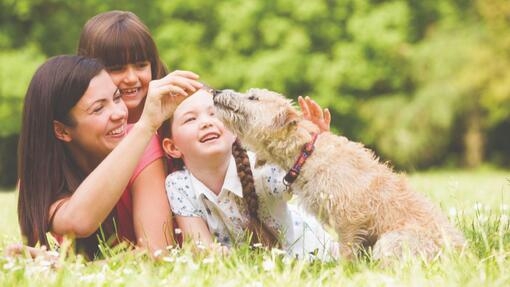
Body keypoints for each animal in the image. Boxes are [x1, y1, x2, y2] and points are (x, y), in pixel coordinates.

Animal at [213, 89, 468, 262]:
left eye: (253, 98)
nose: (216, 92)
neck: (306, 152)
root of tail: (462, 252)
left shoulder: (350, 218)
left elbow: (346, 253)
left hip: (390, 241)